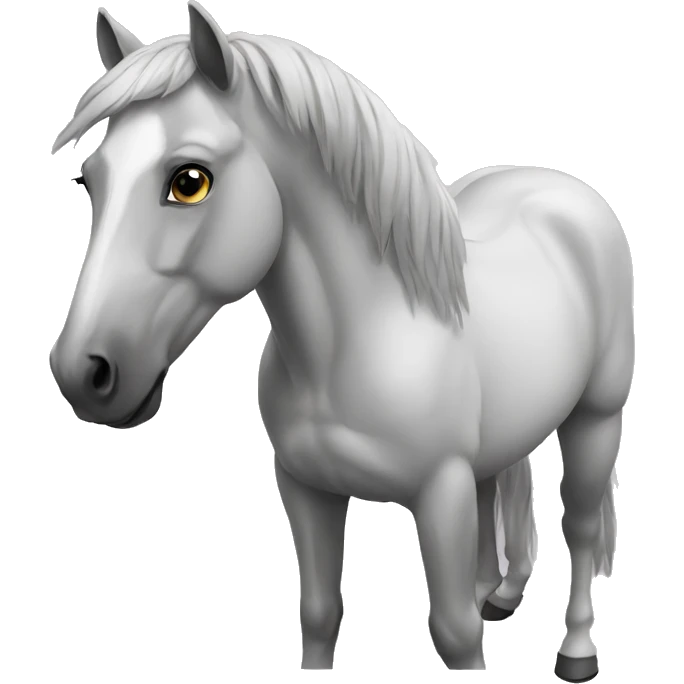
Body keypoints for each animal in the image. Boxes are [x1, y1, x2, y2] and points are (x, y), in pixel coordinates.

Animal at [51, 4, 633, 676]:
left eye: (189, 180)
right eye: (89, 182)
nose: (84, 372)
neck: (358, 341)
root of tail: (563, 188)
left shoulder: (441, 492)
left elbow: (456, 632)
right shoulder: (308, 491)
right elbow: (320, 613)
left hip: (595, 418)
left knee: (582, 528)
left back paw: (576, 652)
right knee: (504, 486)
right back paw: (500, 594)